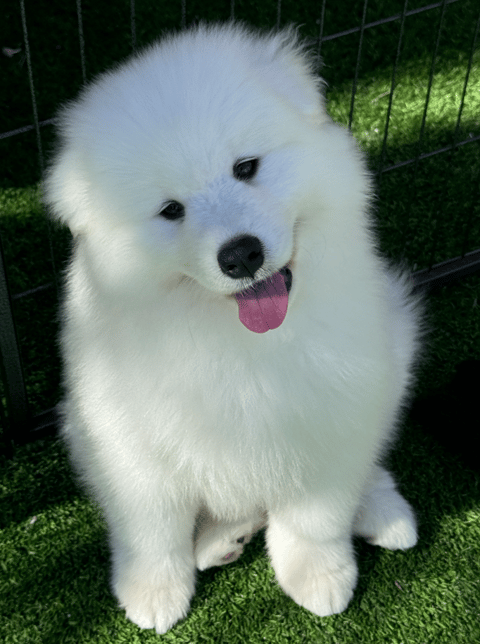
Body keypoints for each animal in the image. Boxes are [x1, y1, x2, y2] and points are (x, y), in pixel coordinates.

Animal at [44, 22, 420, 632]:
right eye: (171, 210)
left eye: (246, 167)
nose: (241, 255)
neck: (239, 341)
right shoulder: (127, 439)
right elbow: (151, 527)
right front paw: (153, 592)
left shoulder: (330, 413)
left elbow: (315, 516)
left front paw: (317, 576)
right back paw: (222, 540)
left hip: (396, 345)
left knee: (365, 461)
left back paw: (382, 513)